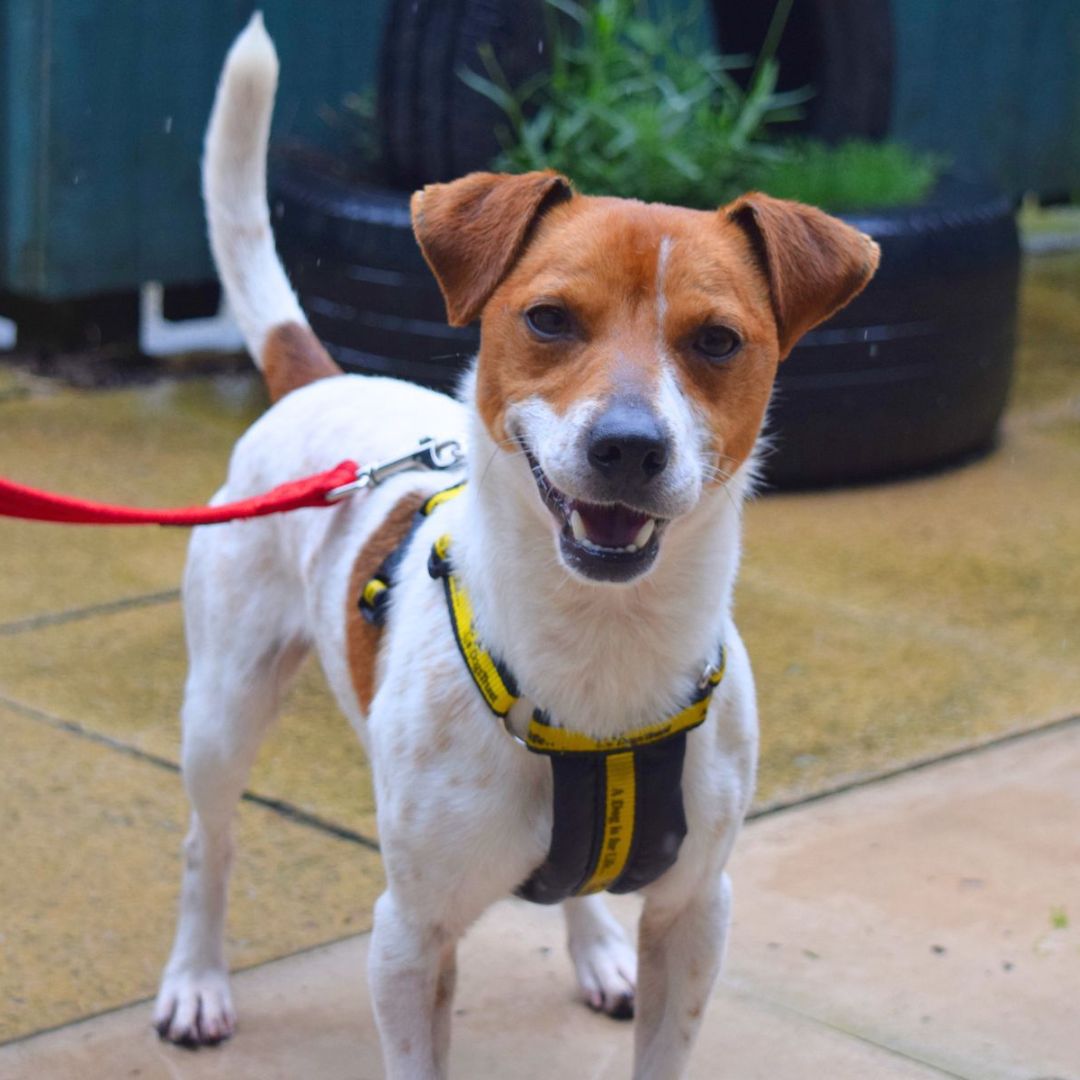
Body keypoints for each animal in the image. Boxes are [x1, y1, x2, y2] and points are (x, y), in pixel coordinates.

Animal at [152, 12, 876, 1075]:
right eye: (548, 318)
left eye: (718, 341)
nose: (628, 447)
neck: (602, 650)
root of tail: (321, 375)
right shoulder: (409, 936)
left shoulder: (696, 913)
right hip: (222, 703)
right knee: (208, 843)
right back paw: (197, 981)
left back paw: (600, 952)